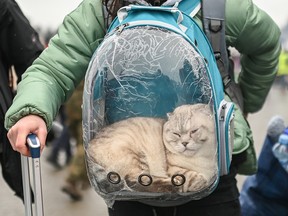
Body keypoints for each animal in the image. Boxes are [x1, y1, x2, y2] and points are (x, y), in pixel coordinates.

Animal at [86, 103, 217, 192]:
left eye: (194, 131)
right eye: (176, 134)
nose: (184, 143)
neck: (203, 158)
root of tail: (88, 151)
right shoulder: (173, 169)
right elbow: (193, 178)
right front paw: (201, 181)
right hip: (138, 157)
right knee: (136, 181)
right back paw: (173, 185)